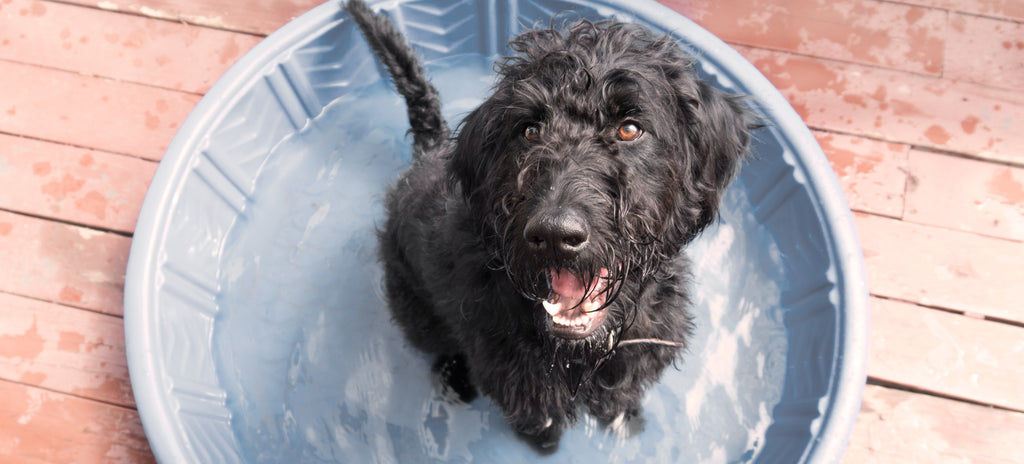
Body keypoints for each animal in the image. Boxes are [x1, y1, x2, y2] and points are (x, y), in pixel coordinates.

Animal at [348, 0, 757, 450]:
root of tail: (429, 150)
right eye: (529, 130)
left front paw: (626, 420)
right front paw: (546, 446)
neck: (581, 353)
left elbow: (622, 396)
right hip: (415, 308)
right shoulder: (521, 387)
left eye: (629, 128)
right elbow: (540, 423)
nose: (555, 234)